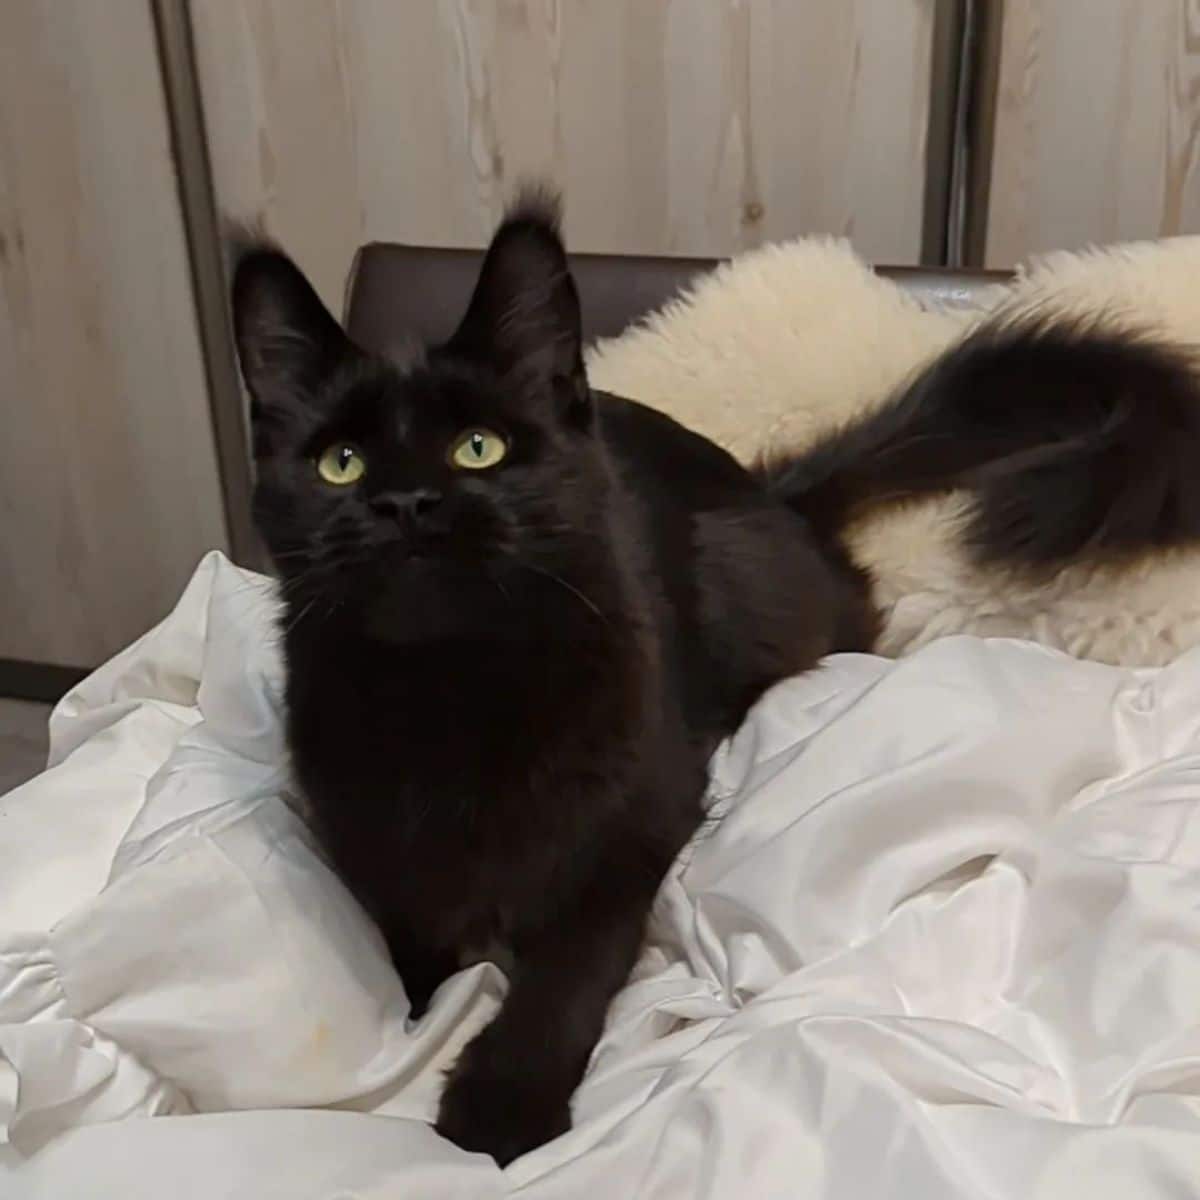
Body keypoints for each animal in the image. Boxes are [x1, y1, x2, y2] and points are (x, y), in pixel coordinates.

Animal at [231, 194, 873, 1161]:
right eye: (340, 463)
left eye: (479, 448)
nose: (406, 504)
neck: (449, 695)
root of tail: (769, 491)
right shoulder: (365, 830)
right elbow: (407, 934)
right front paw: (411, 1024)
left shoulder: (630, 829)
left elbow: (566, 970)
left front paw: (500, 1103)